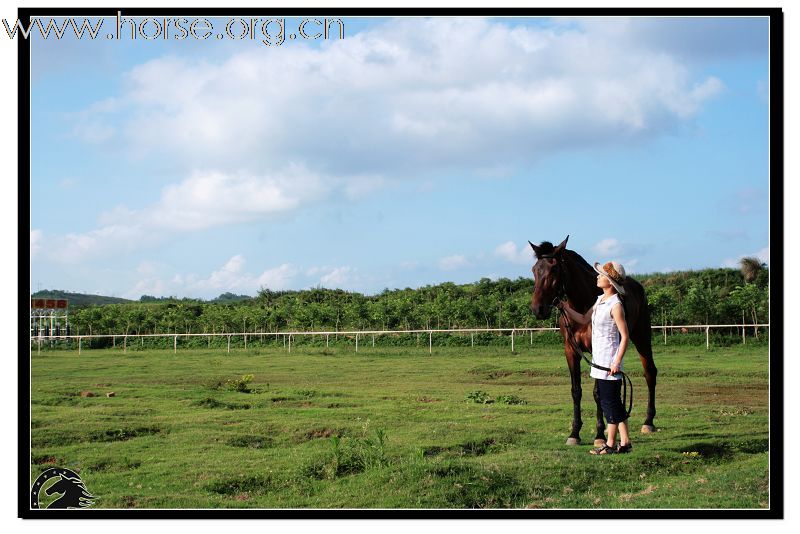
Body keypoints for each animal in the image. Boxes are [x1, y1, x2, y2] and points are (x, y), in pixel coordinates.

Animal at [532, 237, 656, 446]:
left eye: (554, 269)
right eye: (534, 270)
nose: (537, 309)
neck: (582, 306)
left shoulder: (597, 350)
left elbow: (598, 393)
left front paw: (599, 435)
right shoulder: (571, 351)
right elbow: (576, 391)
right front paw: (574, 433)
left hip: (642, 337)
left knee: (650, 373)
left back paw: (648, 422)